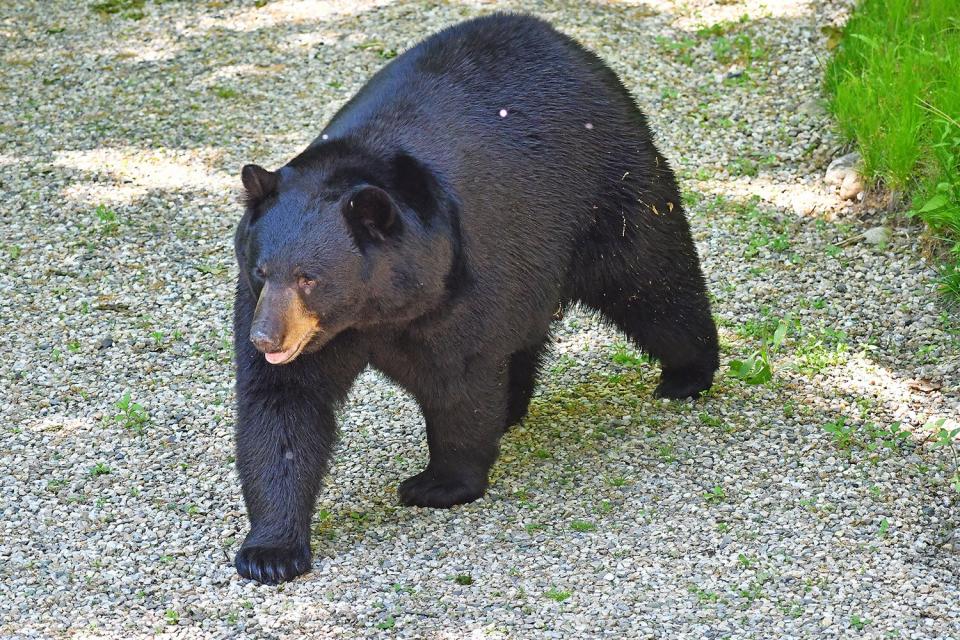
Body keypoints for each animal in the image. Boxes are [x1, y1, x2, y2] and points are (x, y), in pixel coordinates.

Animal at [231, 13, 712, 584]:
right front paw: (270, 551)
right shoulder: (293, 325)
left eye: (309, 277)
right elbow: (282, 405)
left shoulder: (456, 283)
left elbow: (460, 379)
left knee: (653, 280)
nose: (266, 338)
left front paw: (439, 483)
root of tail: (564, 41)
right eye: (262, 271)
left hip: (610, 190)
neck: (375, 309)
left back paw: (689, 372)